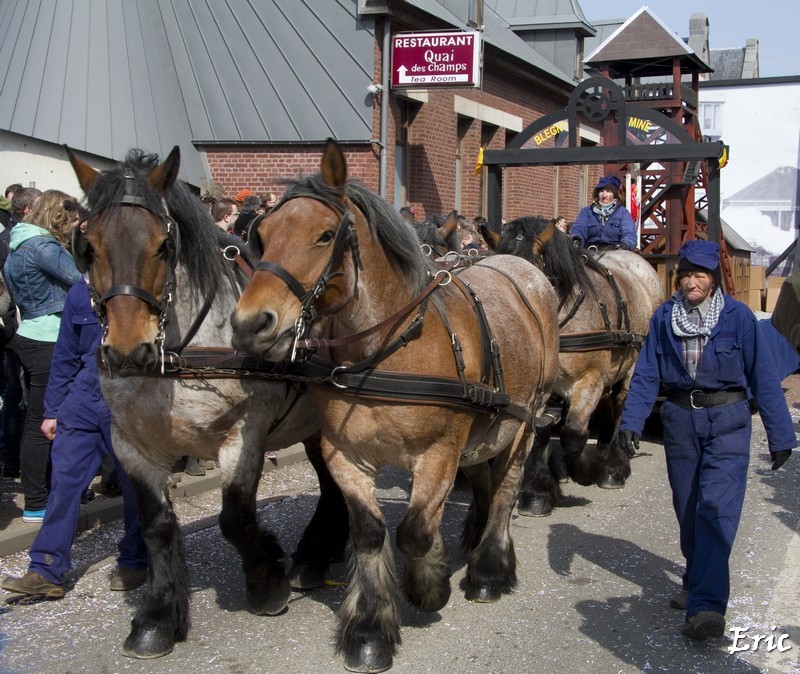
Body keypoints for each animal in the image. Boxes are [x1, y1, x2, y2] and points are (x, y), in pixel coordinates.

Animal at [65, 146, 349, 658]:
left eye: (163, 245)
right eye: (88, 246)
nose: (126, 350)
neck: (176, 358)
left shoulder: (243, 436)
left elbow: (235, 518)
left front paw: (267, 582)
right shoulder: (131, 445)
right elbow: (156, 525)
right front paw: (158, 616)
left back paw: (314, 553)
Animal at [230, 140, 560, 672]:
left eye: (325, 235)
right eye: (260, 234)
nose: (249, 324)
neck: (386, 350)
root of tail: (519, 267)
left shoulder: (440, 453)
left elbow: (414, 531)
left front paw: (430, 584)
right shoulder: (344, 454)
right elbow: (369, 532)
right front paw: (369, 629)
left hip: (525, 418)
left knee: (507, 486)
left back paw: (489, 568)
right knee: (484, 478)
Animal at [481, 216, 663, 516]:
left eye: (535, 281)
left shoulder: (590, 380)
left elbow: (573, 433)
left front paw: (585, 470)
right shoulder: (541, 390)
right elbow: (542, 433)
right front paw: (540, 492)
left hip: (634, 365)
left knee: (622, 407)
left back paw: (614, 468)